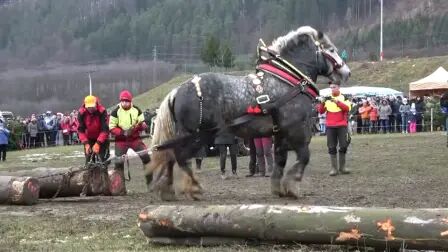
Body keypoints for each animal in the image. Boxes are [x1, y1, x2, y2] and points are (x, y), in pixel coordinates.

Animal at [147, 25, 350, 199]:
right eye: (331, 50)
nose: (346, 73)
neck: (287, 82)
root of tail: (177, 90)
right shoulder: (297, 129)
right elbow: (304, 157)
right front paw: (292, 186)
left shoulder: (280, 132)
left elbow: (280, 159)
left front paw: (278, 188)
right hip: (195, 135)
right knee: (180, 158)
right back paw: (193, 187)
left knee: (171, 157)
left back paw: (167, 190)